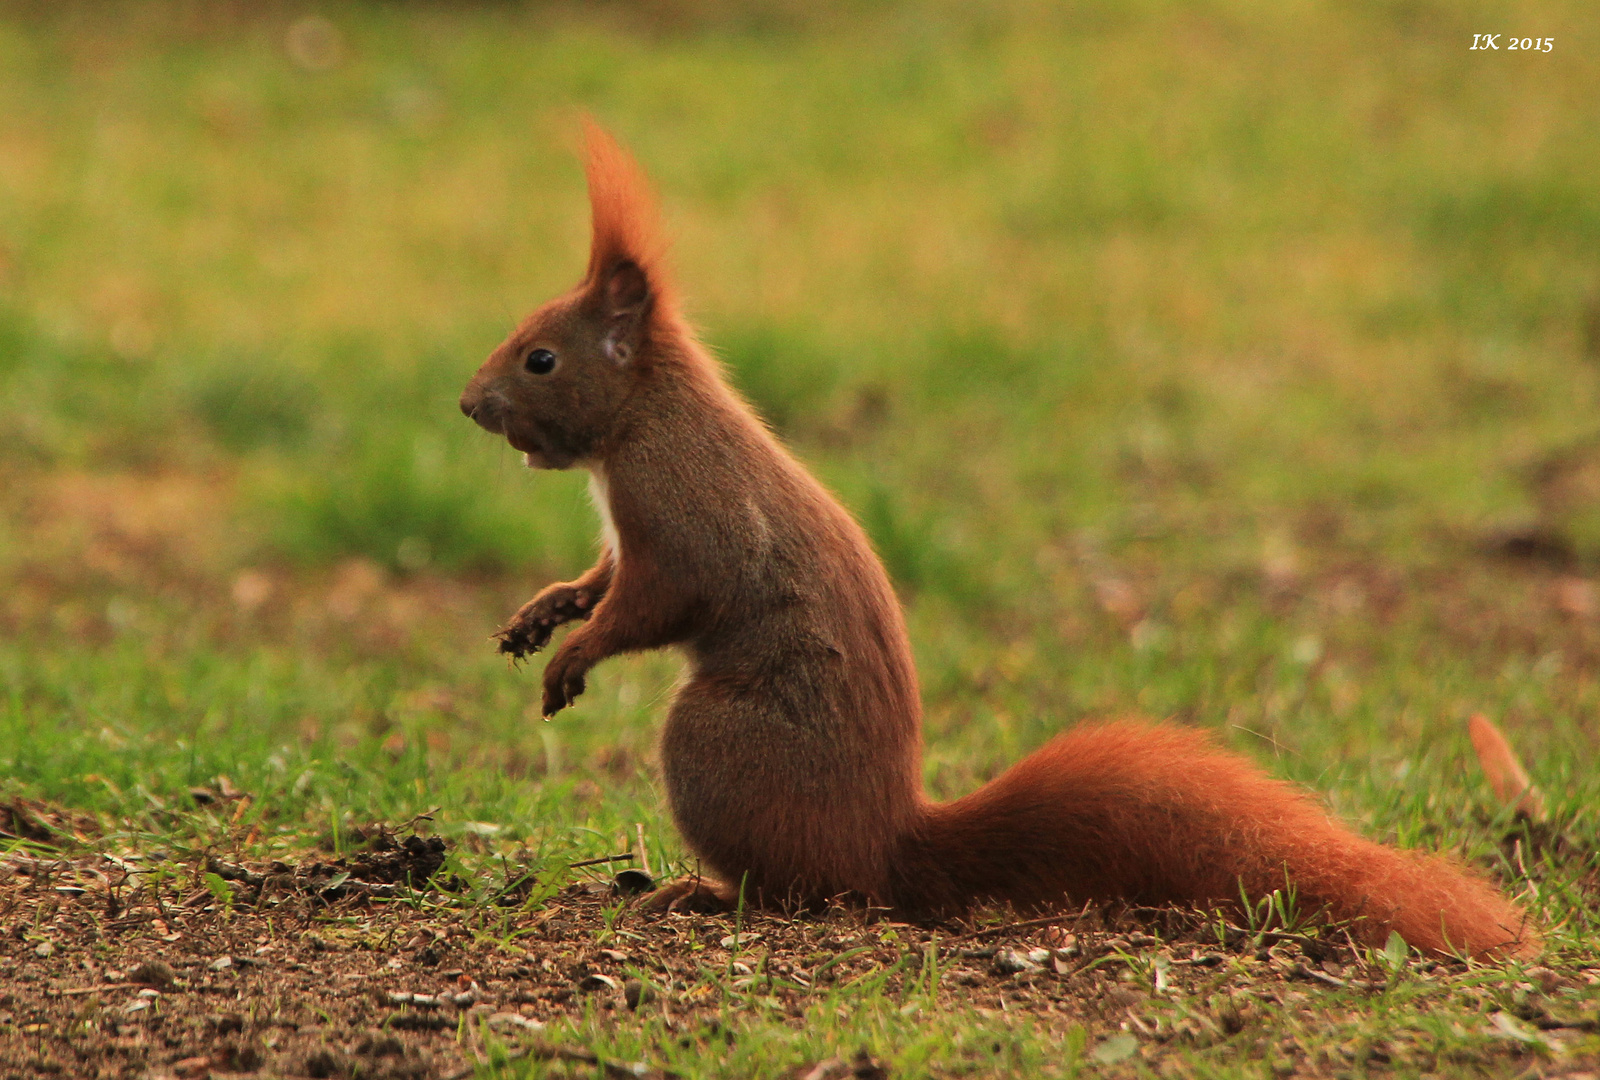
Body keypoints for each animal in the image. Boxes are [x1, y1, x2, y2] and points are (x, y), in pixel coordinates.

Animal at [460, 122, 1536, 960]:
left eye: (540, 357)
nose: (470, 405)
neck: (645, 416)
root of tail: (886, 843)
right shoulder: (626, 532)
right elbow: (602, 574)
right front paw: (543, 614)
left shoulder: (687, 517)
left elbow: (656, 598)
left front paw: (574, 655)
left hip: (713, 747)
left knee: (801, 891)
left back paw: (705, 893)